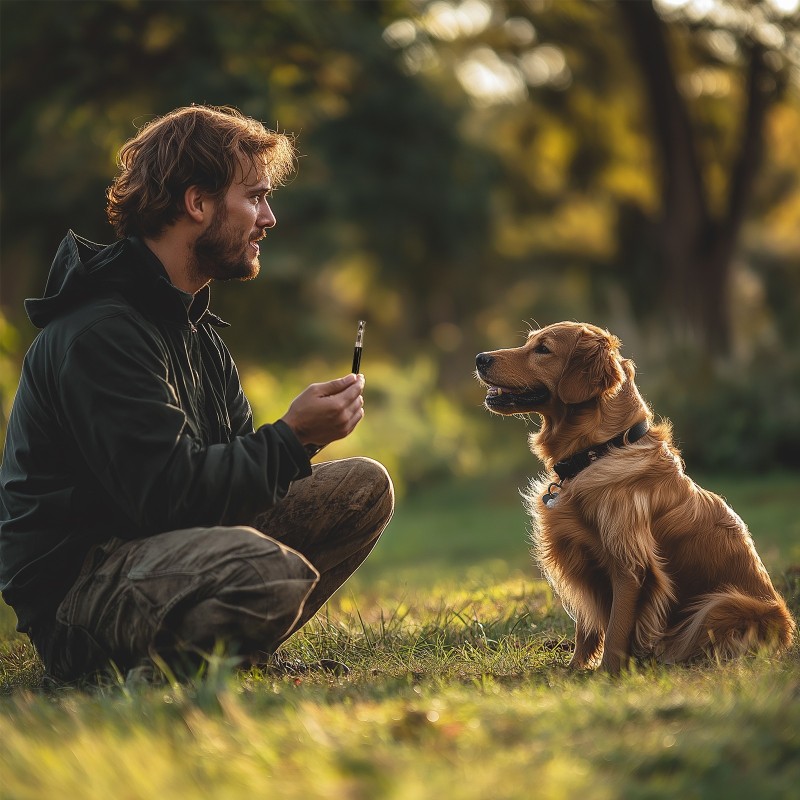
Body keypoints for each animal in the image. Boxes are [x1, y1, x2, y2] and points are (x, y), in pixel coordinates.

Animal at [476, 322, 792, 672]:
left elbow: (616, 627)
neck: (600, 450)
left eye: (543, 349)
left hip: (723, 604)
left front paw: (606, 674)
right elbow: (586, 626)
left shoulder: (630, 565)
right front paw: (574, 669)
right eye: (529, 342)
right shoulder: (581, 555)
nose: (480, 358)